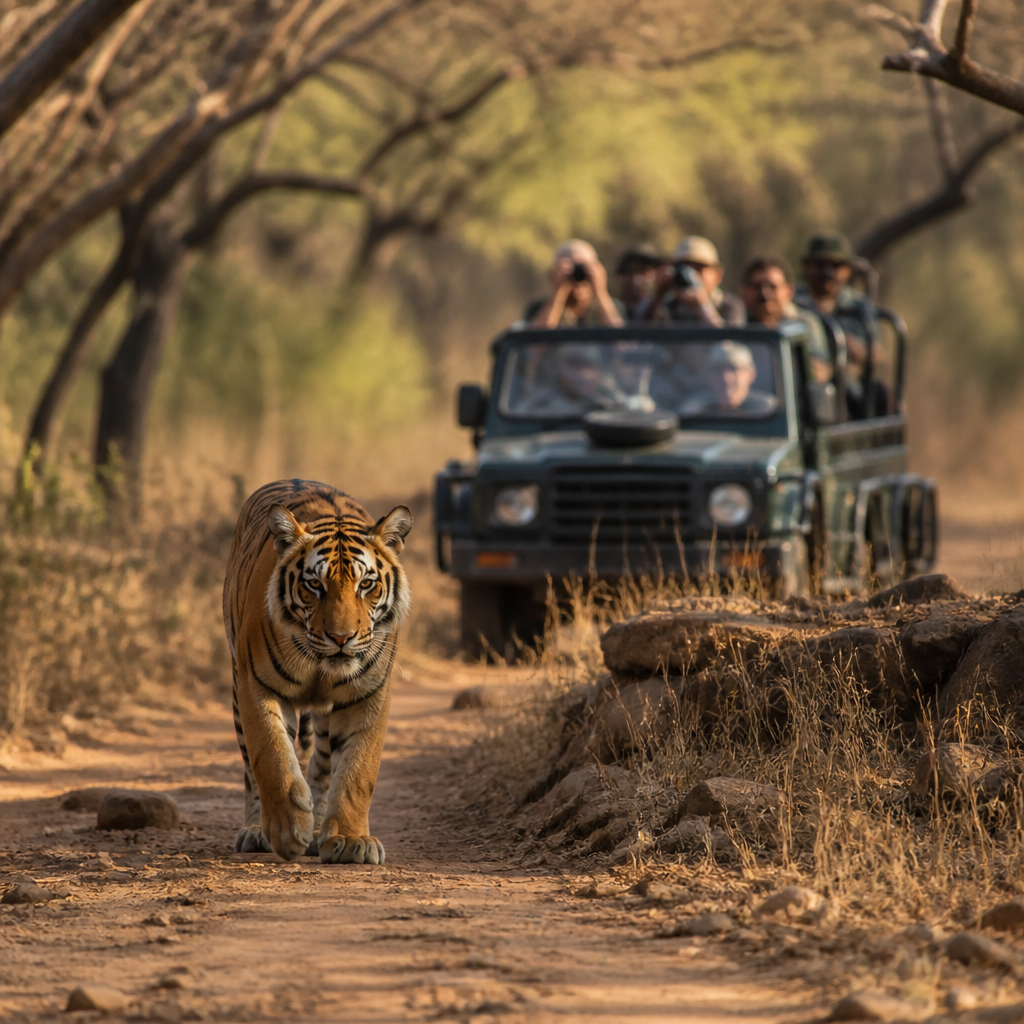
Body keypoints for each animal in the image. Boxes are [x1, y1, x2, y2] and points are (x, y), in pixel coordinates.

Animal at [222, 479, 412, 863]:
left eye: (366, 584)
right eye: (314, 585)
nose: (341, 637)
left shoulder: (369, 692)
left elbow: (358, 769)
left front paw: (352, 841)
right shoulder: (256, 683)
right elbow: (272, 756)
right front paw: (287, 832)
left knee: (323, 766)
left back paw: (319, 831)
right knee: (251, 768)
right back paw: (257, 831)